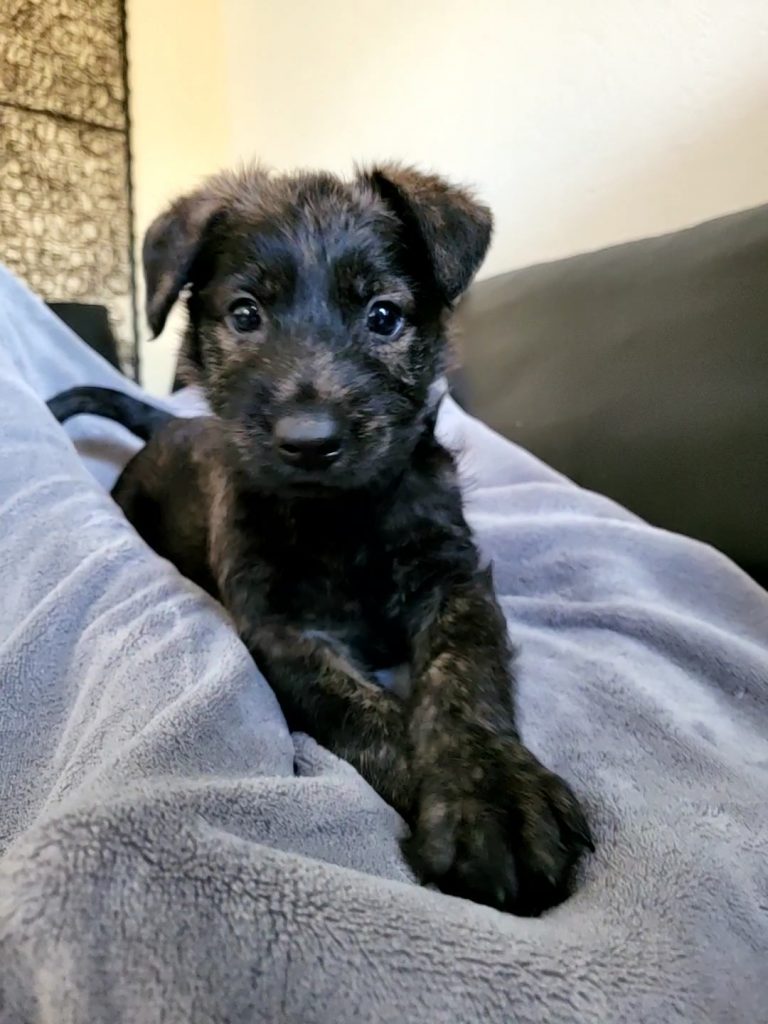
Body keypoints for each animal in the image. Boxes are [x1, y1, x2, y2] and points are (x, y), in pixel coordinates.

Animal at [49, 163, 593, 917]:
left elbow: (463, 671)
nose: (309, 442)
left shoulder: (451, 578)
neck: (341, 516)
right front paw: (465, 807)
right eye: (245, 313)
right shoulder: (282, 629)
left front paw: (494, 793)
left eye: (384, 316)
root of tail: (166, 424)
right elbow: (363, 710)